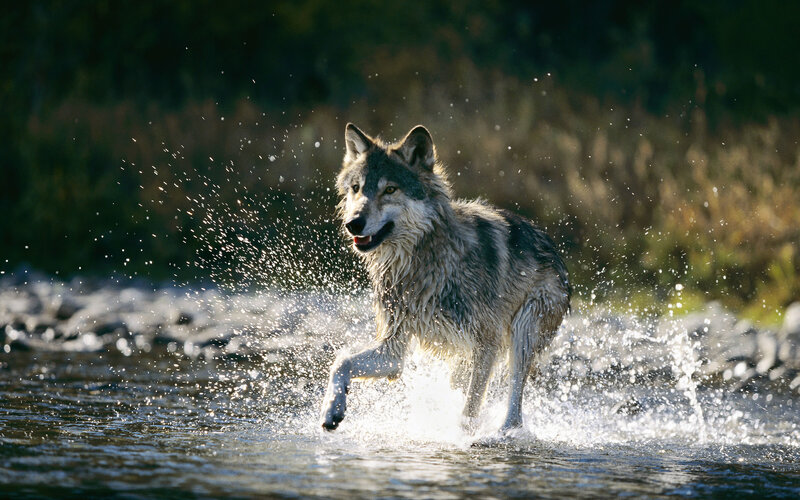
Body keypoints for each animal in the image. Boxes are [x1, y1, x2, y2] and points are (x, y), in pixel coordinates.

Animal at [320, 123, 570, 432]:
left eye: (389, 189)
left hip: (522, 332)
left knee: (514, 411)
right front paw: (331, 409)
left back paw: (503, 434)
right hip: (463, 360)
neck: (422, 265)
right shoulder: (392, 351)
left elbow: (469, 410)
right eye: (356, 189)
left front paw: (463, 437)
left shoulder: (486, 343)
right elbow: (340, 361)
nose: (353, 223)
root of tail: (556, 252)